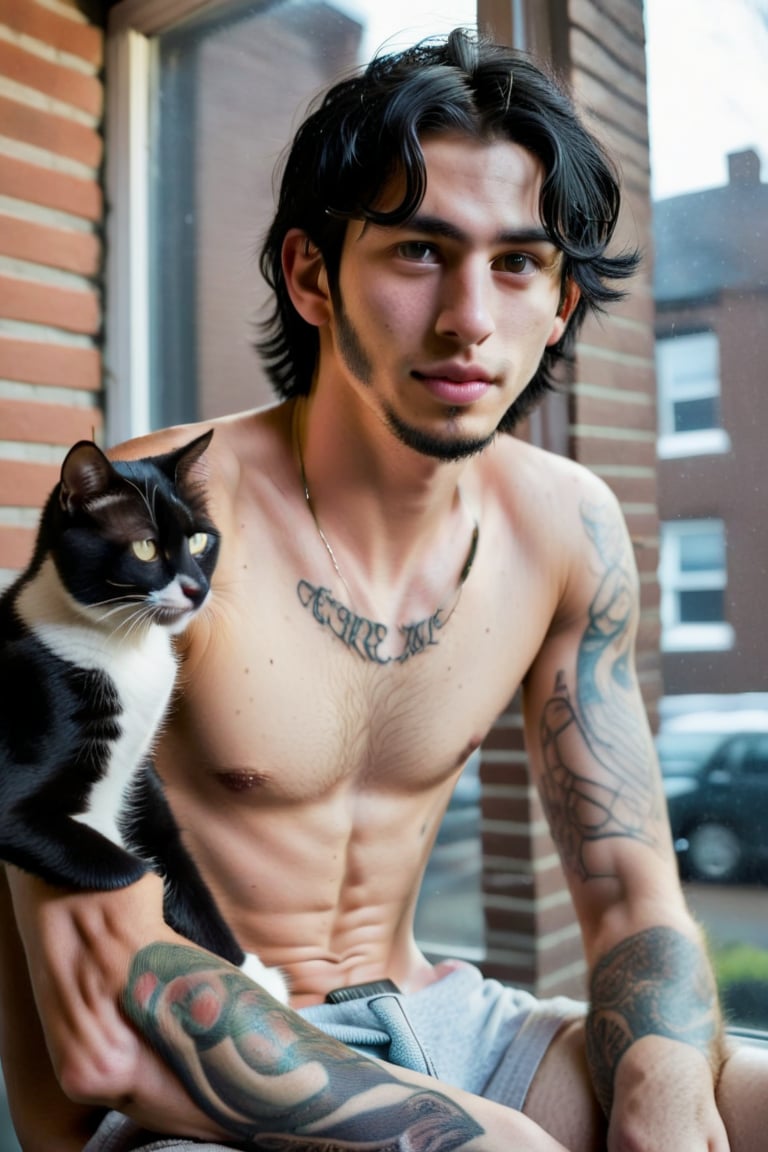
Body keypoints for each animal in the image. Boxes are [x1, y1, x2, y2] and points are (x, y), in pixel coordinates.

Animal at [0, 430, 287, 999]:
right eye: (145, 547)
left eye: (200, 542)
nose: (197, 588)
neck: (124, 647)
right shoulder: (13, 795)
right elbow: (135, 872)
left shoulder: (141, 780)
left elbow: (175, 859)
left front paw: (248, 969)